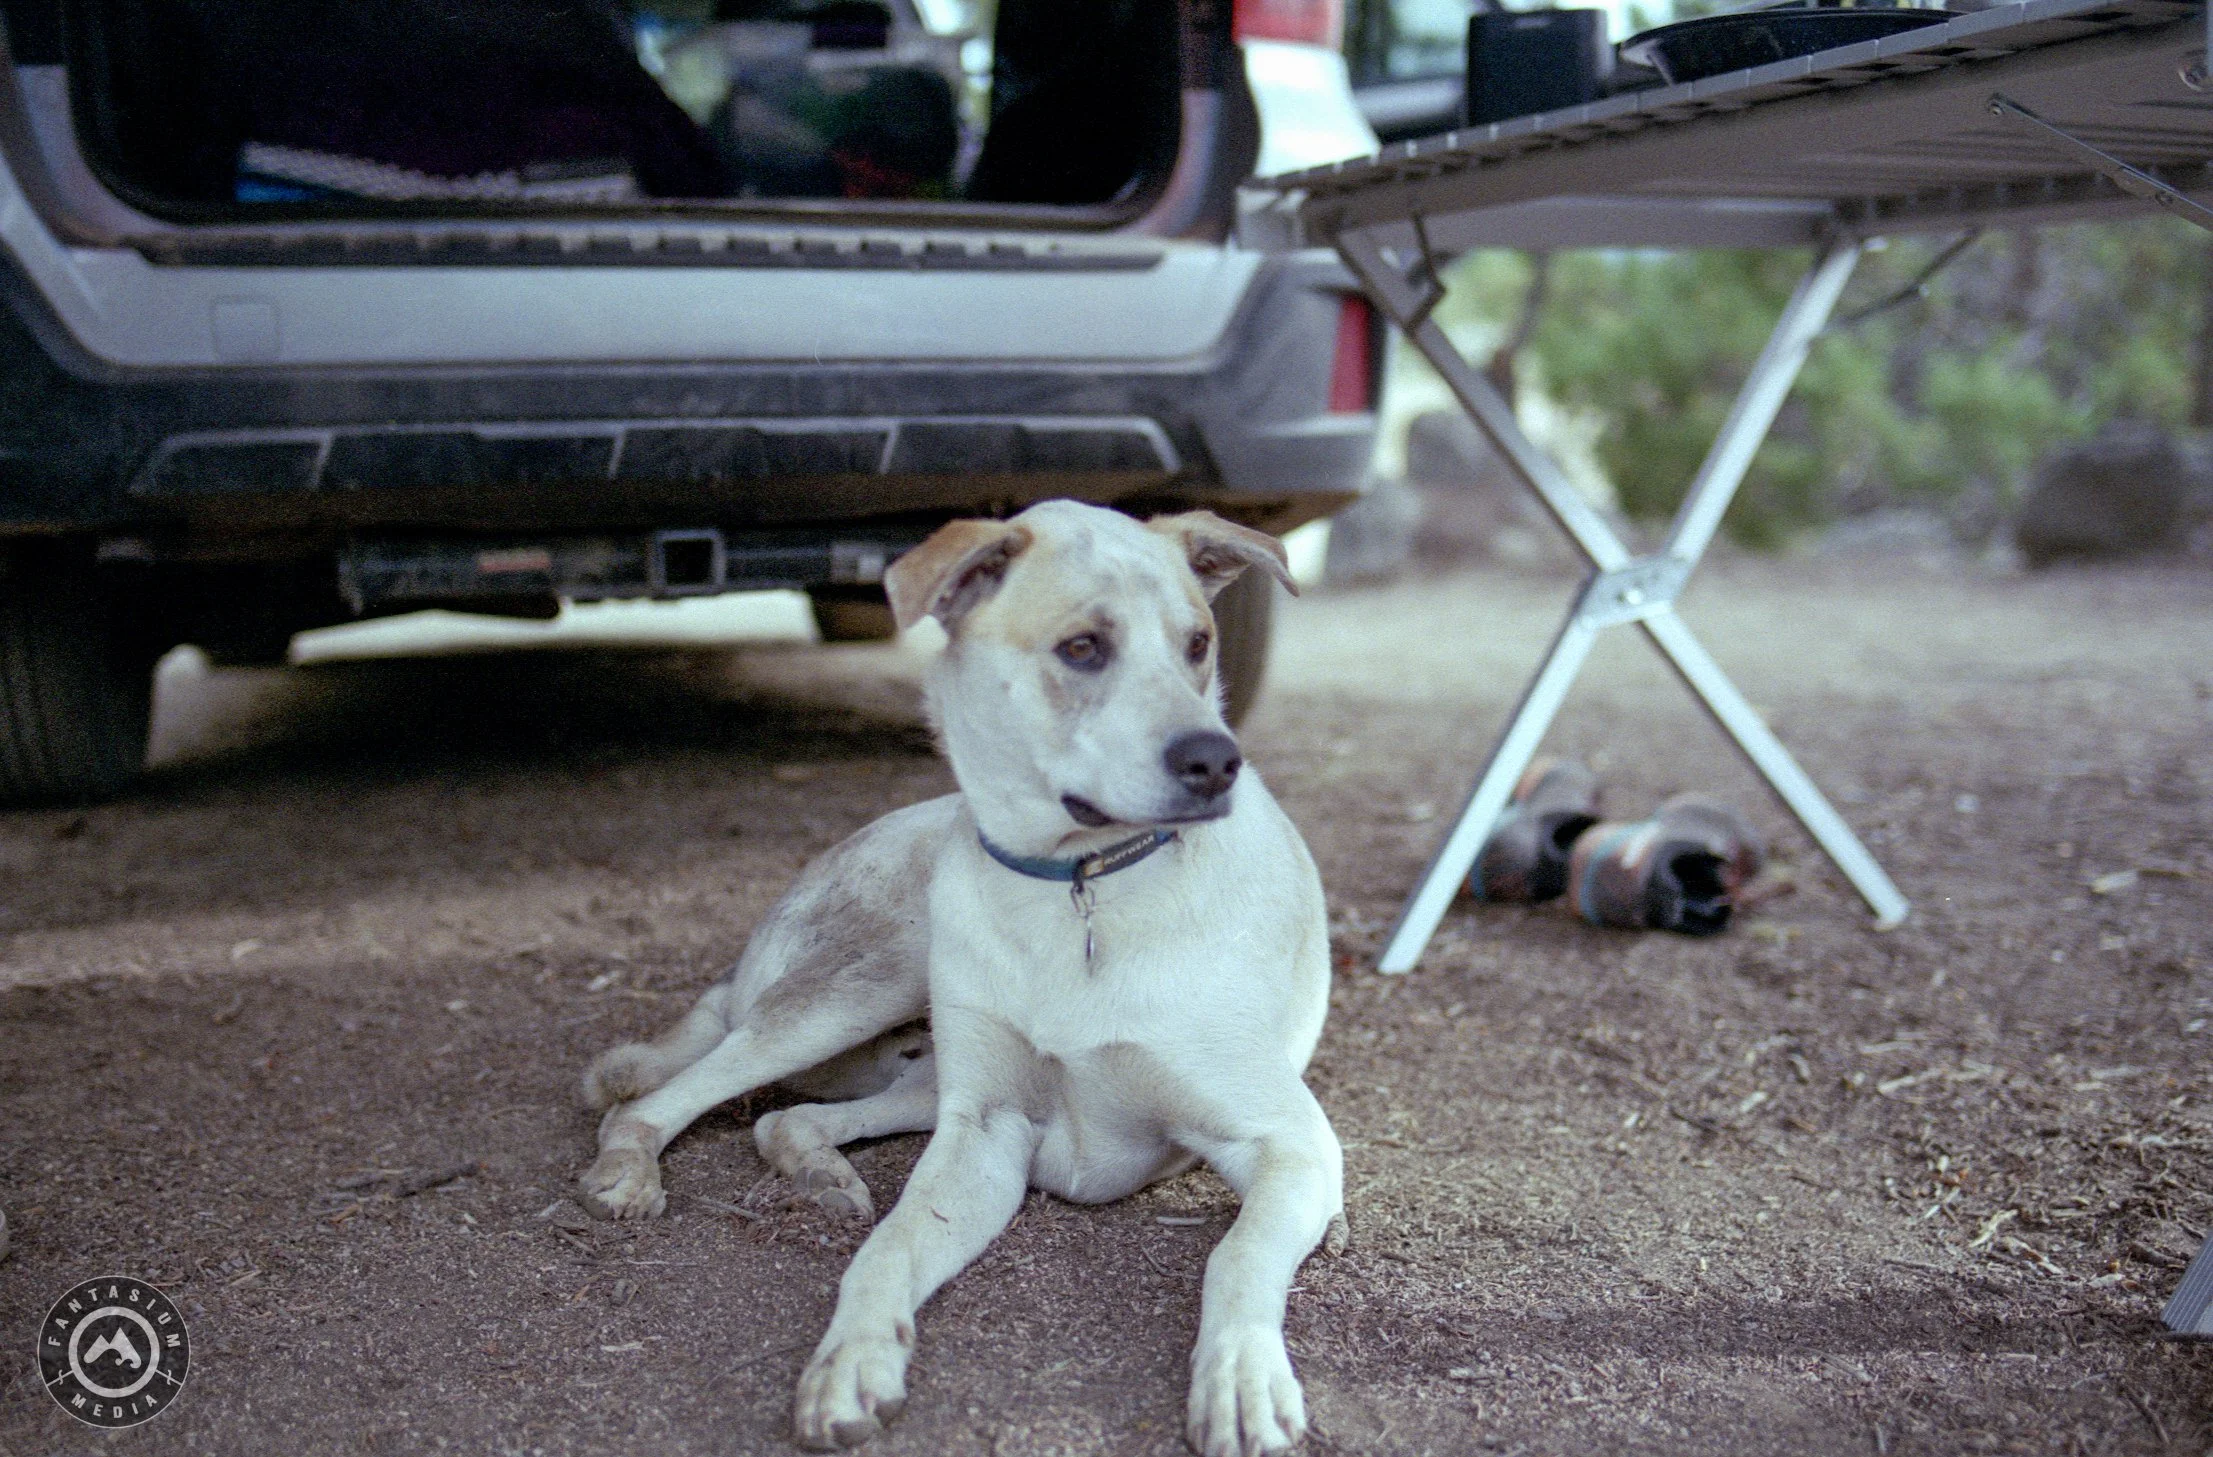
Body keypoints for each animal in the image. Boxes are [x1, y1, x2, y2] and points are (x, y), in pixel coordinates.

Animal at [577, 499, 1344, 1455]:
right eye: (1082, 646)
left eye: (1198, 642)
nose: (1215, 760)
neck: (1080, 887)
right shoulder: (984, 1132)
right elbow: (892, 1245)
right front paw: (851, 1359)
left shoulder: (1289, 1142)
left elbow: (1234, 1253)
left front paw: (1240, 1378)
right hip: (862, 989)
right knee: (658, 1099)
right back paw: (631, 1167)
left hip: (920, 1068)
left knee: (787, 1117)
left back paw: (821, 1175)